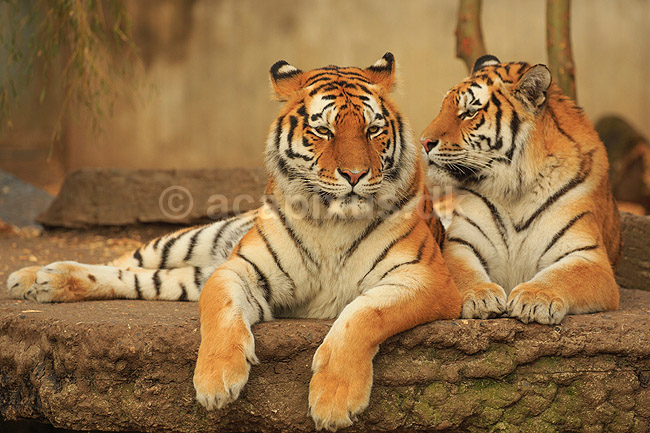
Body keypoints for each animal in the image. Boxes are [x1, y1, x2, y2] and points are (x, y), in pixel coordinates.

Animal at [7, 53, 461, 431]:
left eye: (373, 130)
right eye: (323, 130)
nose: (354, 175)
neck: (331, 221)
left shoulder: (425, 279)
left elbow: (363, 315)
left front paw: (334, 399)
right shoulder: (237, 269)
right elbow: (221, 310)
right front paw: (216, 380)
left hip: (184, 276)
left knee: (136, 279)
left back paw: (45, 281)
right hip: (188, 241)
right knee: (126, 260)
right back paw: (30, 277)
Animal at [419, 54, 621, 325]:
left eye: (470, 112)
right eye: (442, 109)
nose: (424, 142)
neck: (514, 191)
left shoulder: (588, 256)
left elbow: (562, 276)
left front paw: (534, 299)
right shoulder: (459, 244)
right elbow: (463, 272)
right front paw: (480, 296)